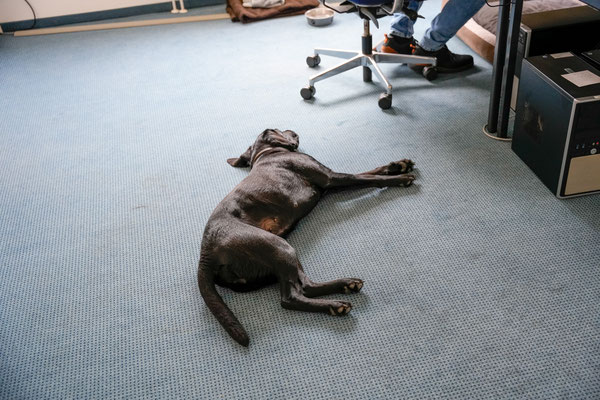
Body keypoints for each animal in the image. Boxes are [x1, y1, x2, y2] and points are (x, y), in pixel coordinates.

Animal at [198, 129, 416, 346]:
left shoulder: (331, 179)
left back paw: (346, 285)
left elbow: (369, 171)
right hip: (278, 246)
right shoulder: (330, 177)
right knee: (290, 297)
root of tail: (205, 255)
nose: (293, 130)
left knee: (307, 286)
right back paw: (334, 305)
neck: (267, 153)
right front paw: (400, 178)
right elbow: (367, 178)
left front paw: (398, 165)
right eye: (279, 128)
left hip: (282, 252)